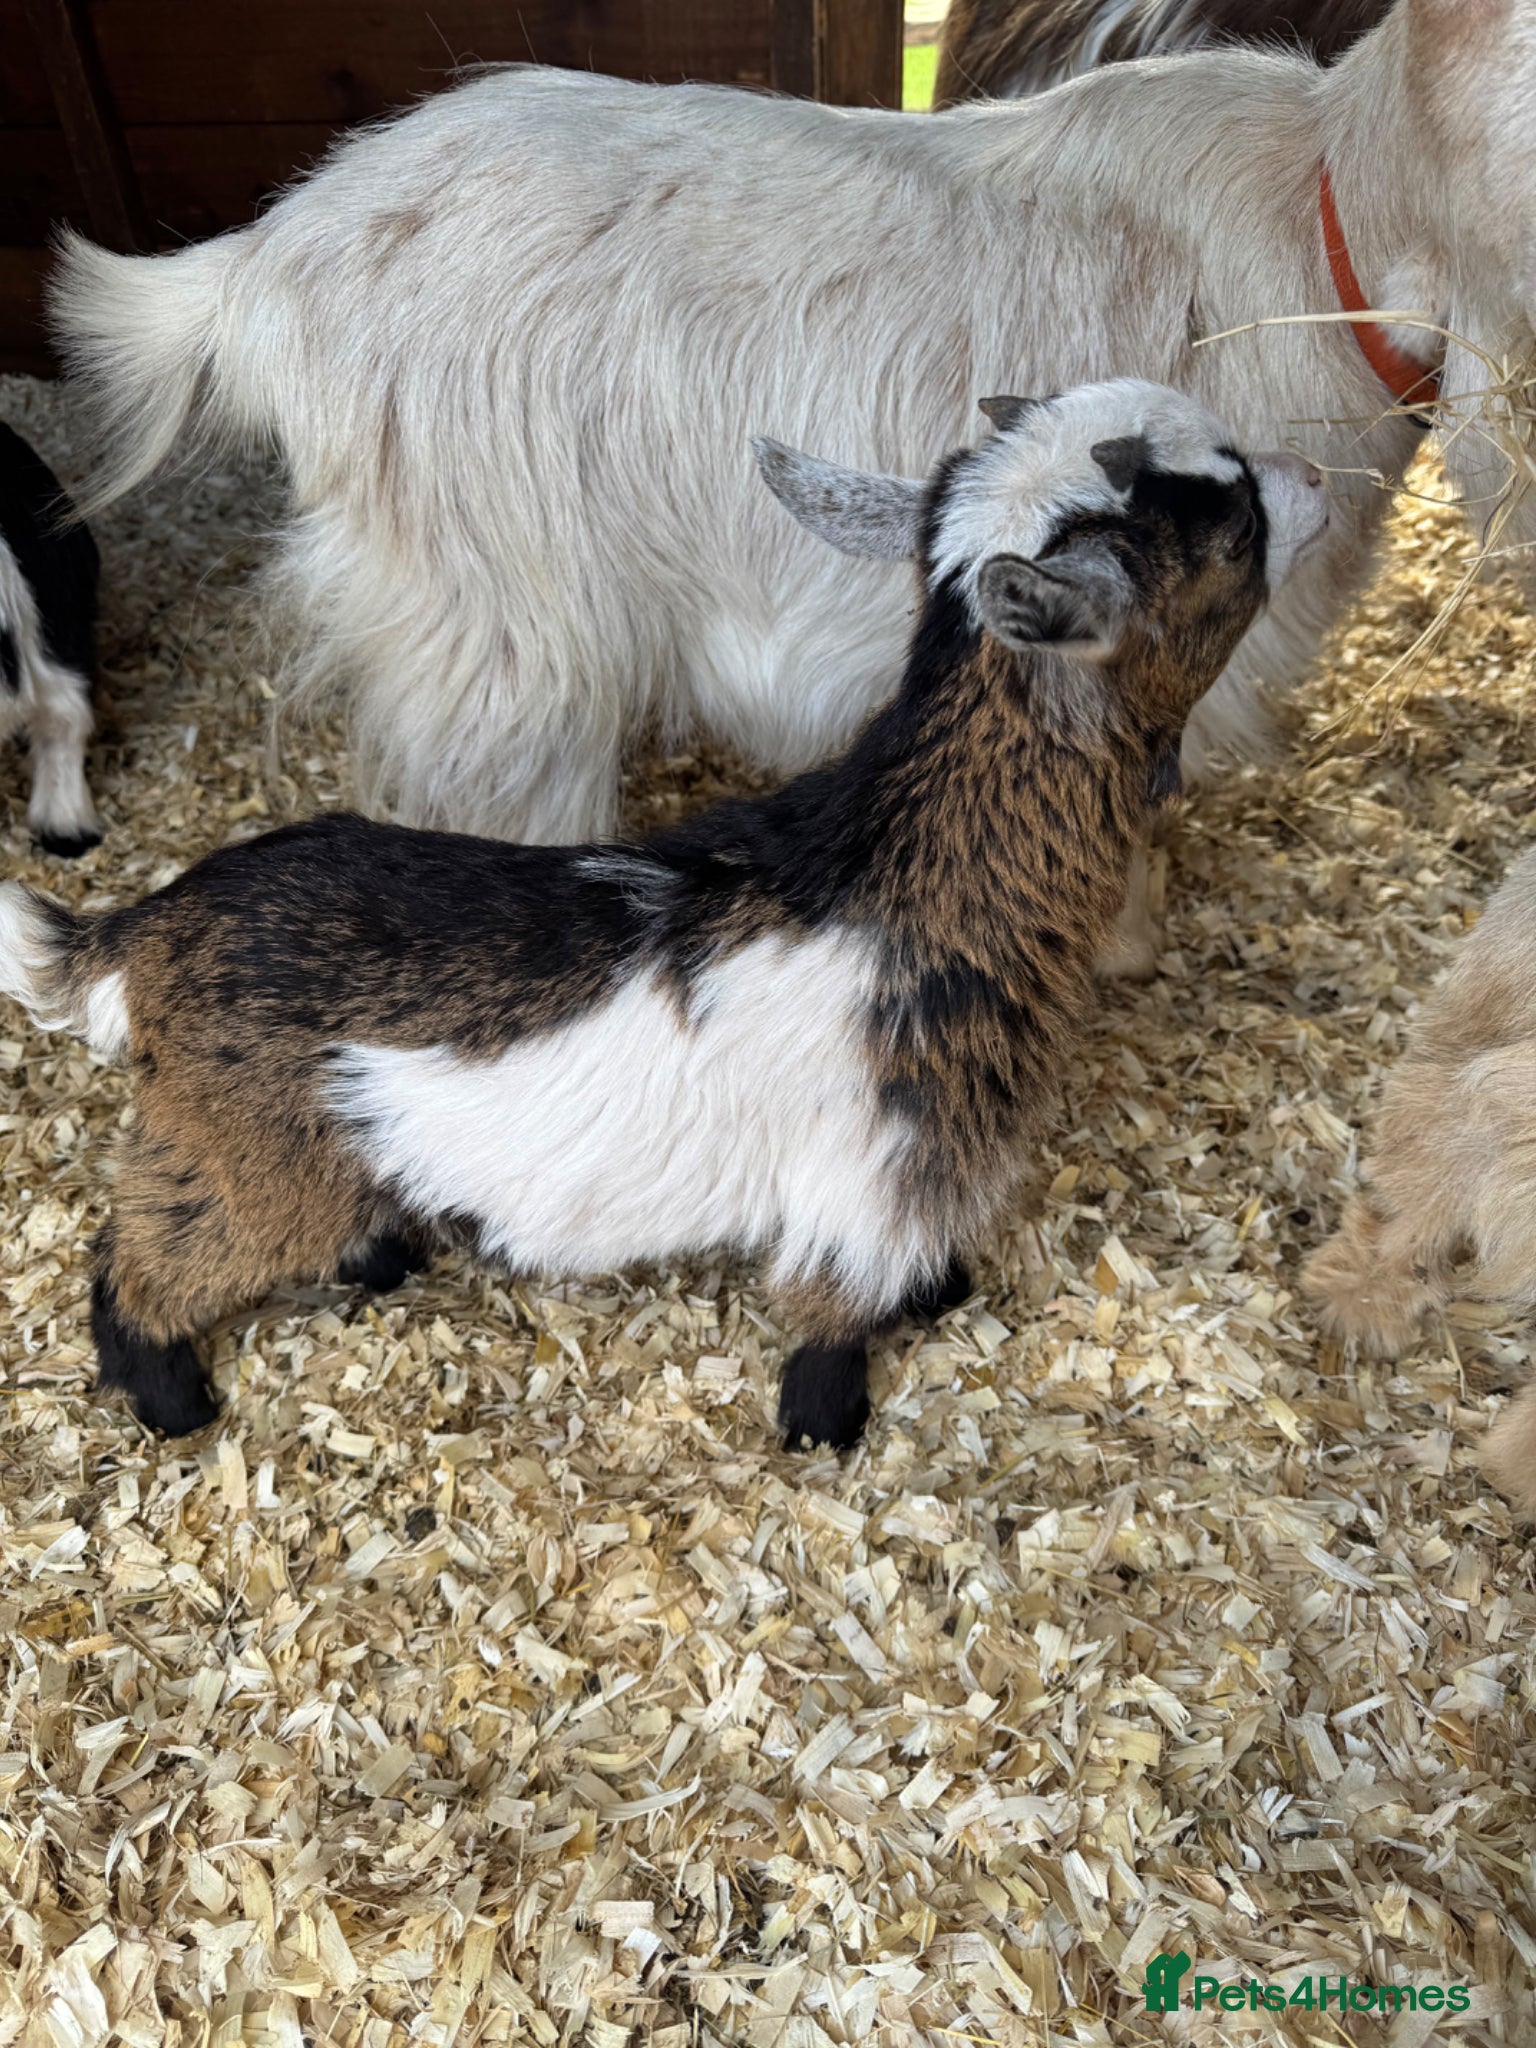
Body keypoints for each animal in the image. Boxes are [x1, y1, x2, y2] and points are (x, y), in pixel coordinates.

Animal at [0, 382, 1325, 1447]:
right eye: (1231, 527)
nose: (1311, 481)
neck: (916, 863)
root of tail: (142, 928)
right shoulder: (880, 1165)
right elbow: (834, 1314)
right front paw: (826, 1421)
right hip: (236, 1153)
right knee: (137, 1259)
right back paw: (174, 1398)